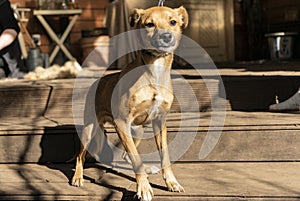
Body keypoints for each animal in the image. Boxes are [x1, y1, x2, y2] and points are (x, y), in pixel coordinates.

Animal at [71, 6, 188, 201]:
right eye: (149, 24)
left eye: (173, 21)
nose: (166, 36)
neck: (154, 71)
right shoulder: (122, 123)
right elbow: (136, 159)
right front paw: (144, 188)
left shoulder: (159, 122)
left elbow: (164, 156)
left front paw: (171, 182)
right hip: (90, 130)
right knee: (81, 156)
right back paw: (77, 177)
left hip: (138, 130)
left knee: (126, 154)